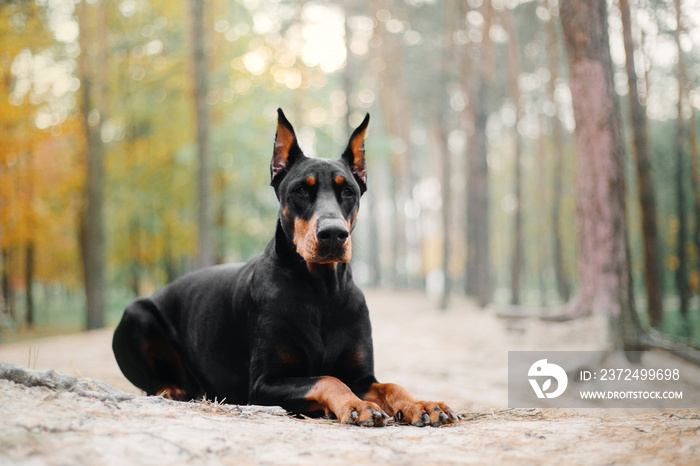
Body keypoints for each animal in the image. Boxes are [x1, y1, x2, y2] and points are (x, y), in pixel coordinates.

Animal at [111, 108, 456, 426]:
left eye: (348, 191)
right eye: (300, 189)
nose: (333, 234)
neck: (321, 292)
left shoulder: (362, 376)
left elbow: (389, 385)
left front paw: (422, 404)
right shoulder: (264, 384)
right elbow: (327, 379)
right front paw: (354, 405)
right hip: (136, 314)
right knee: (155, 383)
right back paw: (172, 388)